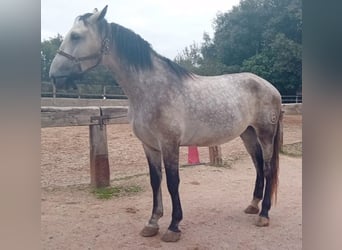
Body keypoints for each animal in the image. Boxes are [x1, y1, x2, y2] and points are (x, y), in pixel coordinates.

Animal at [48, 5, 284, 242]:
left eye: (76, 36)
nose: (54, 76)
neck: (152, 89)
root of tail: (271, 88)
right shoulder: (149, 145)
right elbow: (156, 181)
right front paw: (152, 223)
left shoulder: (169, 144)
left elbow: (172, 182)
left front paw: (173, 226)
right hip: (248, 134)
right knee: (258, 166)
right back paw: (253, 205)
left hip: (265, 134)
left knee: (268, 168)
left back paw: (264, 214)